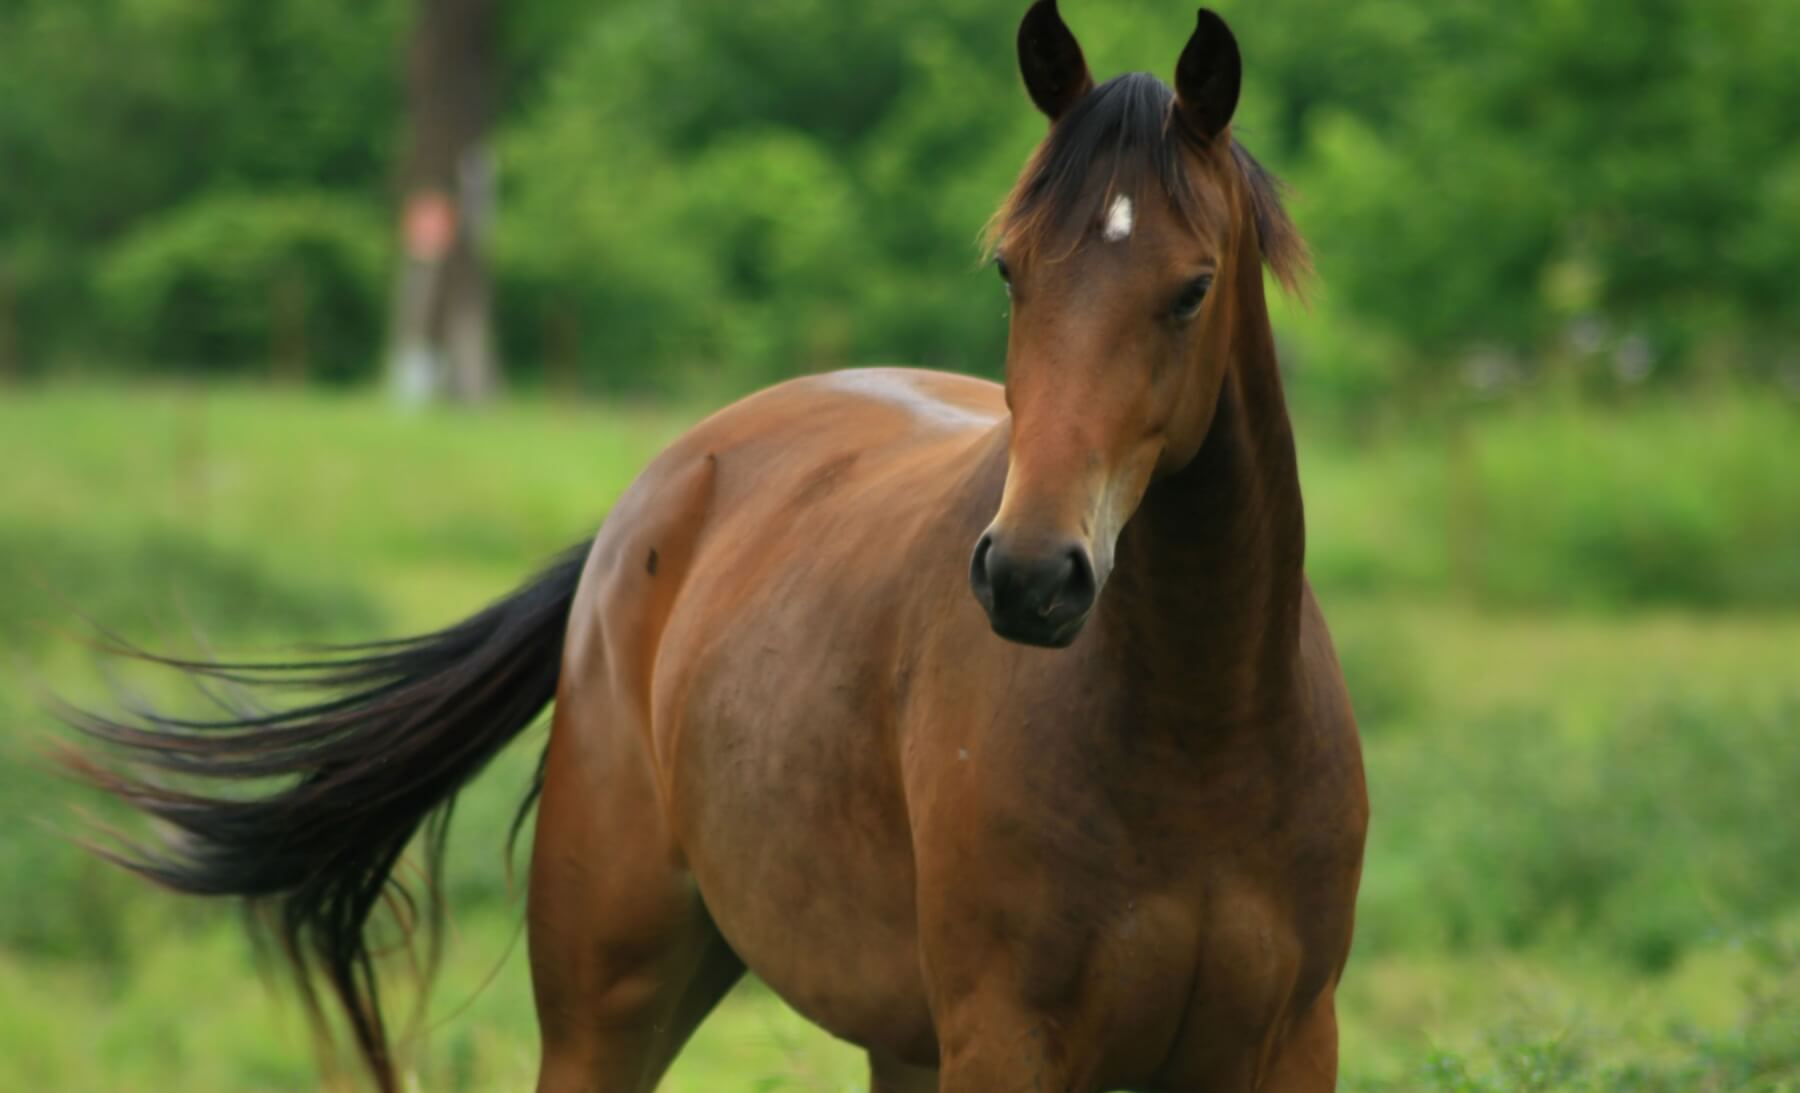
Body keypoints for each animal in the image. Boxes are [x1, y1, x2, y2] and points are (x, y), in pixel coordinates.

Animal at [63, 4, 1368, 1087]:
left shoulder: (1286, 1046)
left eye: (1191, 288)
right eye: (1013, 270)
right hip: (613, 1002)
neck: (1198, 734)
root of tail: (657, 491)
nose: (1031, 577)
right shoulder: (1009, 1042)